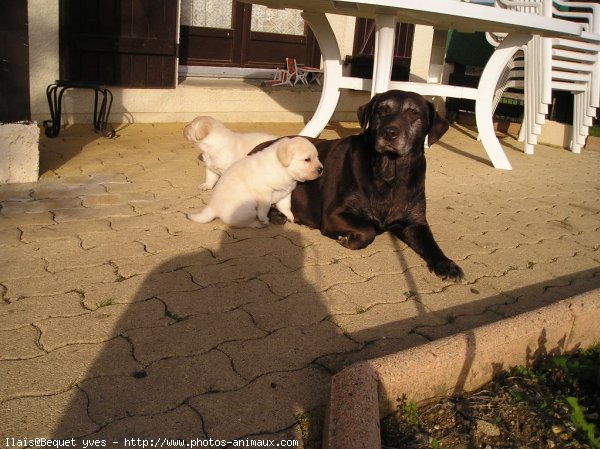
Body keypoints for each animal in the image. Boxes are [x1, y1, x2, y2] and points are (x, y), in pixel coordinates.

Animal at [189, 136, 324, 228]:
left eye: (317, 157)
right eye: (307, 159)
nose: (321, 169)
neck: (282, 168)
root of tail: (212, 207)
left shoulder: (285, 194)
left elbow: (286, 207)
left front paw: (290, 217)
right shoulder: (263, 192)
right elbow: (265, 207)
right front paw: (264, 218)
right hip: (247, 209)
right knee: (243, 223)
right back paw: (258, 224)